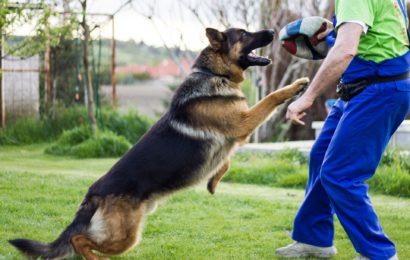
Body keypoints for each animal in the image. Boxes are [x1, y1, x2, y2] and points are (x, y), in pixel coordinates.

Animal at [8, 27, 310, 258]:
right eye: (245, 34)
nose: (272, 31)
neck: (214, 74)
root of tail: (93, 193)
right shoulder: (243, 124)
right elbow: (271, 97)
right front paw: (296, 86)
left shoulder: (235, 134)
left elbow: (224, 162)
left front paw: (213, 181)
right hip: (124, 236)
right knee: (78, 240)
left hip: (125, 234)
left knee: (80, 240)